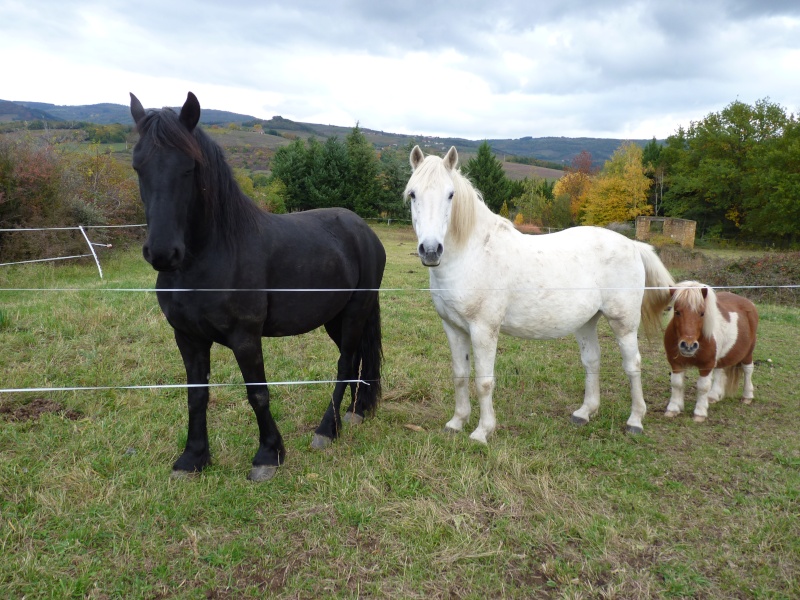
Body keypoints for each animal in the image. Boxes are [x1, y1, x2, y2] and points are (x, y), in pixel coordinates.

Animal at [130, 91, 386, 480]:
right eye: (138, 167)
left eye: (189, 168)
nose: (162, 253)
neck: (211, 254)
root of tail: (364, 231)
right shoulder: (188, 337)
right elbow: (196, 394)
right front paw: (193, 458)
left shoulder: (245, 337)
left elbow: (257, 393)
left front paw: (268, 455)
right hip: (335, 318)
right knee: (356, 358)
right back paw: (353, 413)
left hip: (357, 311)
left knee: (345, 364)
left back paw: (326, 430)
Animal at [406, 147, 676, 442]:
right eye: (413, 194)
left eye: (450, 195)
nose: (431, 251)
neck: (474, 253)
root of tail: (633, 245)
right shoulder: (454, 328)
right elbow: (460, 375)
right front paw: (456, 422)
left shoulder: (483, 329)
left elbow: (484, 381)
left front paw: (482, 431)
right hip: (586, 322)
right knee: (592, 359)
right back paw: (584, 413)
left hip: (624, 323)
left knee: (632, 364)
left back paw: (635, 420)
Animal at [664, 282, 760, 422]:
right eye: (677, 312)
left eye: (702, 313)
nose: (688, 346)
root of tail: (748, 303)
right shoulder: (676, 363)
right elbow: (676, 384)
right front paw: (673, 409)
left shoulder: (706, 365)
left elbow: (703, 387)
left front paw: (700, 413)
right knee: (720, 370)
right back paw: (713, 396)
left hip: (747, 353)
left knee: (748, 370)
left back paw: (747, 396)